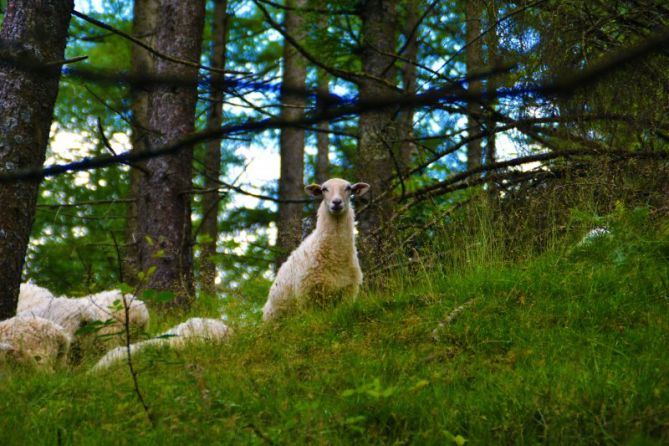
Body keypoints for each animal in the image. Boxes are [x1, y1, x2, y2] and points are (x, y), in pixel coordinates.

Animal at [260, 178, 368, 320]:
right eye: (324, 189)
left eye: (348, 188)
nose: (336, 202)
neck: (336, 256)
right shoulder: (307, 296)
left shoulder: (347, 293)